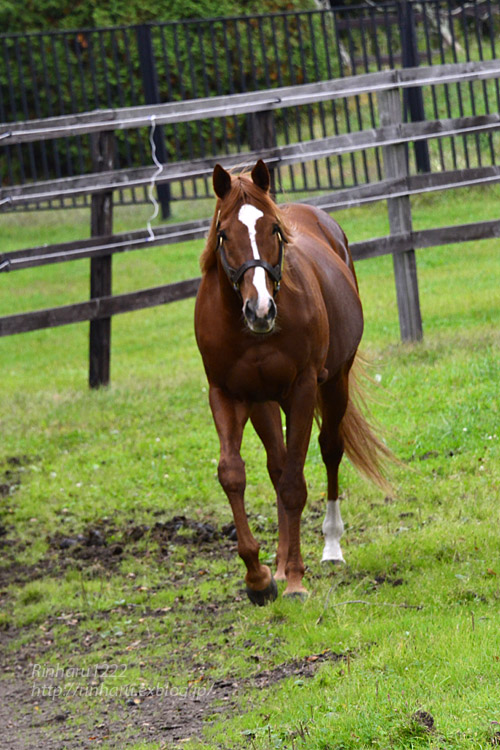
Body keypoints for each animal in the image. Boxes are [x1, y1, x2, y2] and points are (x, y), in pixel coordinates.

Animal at [195, 160, 390, 604]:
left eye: (274, 230)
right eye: (223, 233)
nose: (261, 310)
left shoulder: (302, 390)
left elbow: (294, 486)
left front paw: (297, 581)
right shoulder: (226, 395)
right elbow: (233, 474)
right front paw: (260, 576)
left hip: (334, 384)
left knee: (329, 450)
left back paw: (330, 547)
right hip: (263, 403)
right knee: (277, 464)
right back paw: (281, 564)